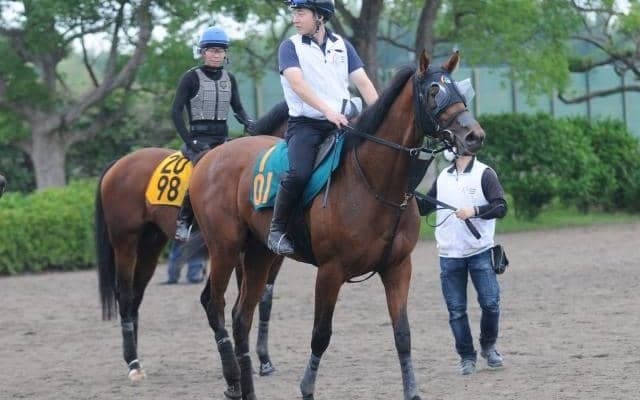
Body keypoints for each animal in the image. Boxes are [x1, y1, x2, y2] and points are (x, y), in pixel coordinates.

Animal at [95, 101, 289, 381]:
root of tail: (119, 163)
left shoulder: (271, 256)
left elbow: (264, 301)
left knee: (136, 296)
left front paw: (263, 361)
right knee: (126, 294)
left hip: (151, 244)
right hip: (125, 242)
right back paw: (132, 362)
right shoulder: (241, 254)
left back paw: (135, 358)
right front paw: (246, 361)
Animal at [189, 50, 485, 400]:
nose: (474, 136)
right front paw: (306, 388)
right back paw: (233, 380)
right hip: (225, 249)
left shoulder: (398, 267)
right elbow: (320, 335)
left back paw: (245, 387)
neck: (373, 181)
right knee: (215, 305)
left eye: (460, 91)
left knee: (241, 317)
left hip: (259, 255)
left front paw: (412, 391)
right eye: (434, 91)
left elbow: (402, 334)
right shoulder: (330, 271)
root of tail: (211, 156)